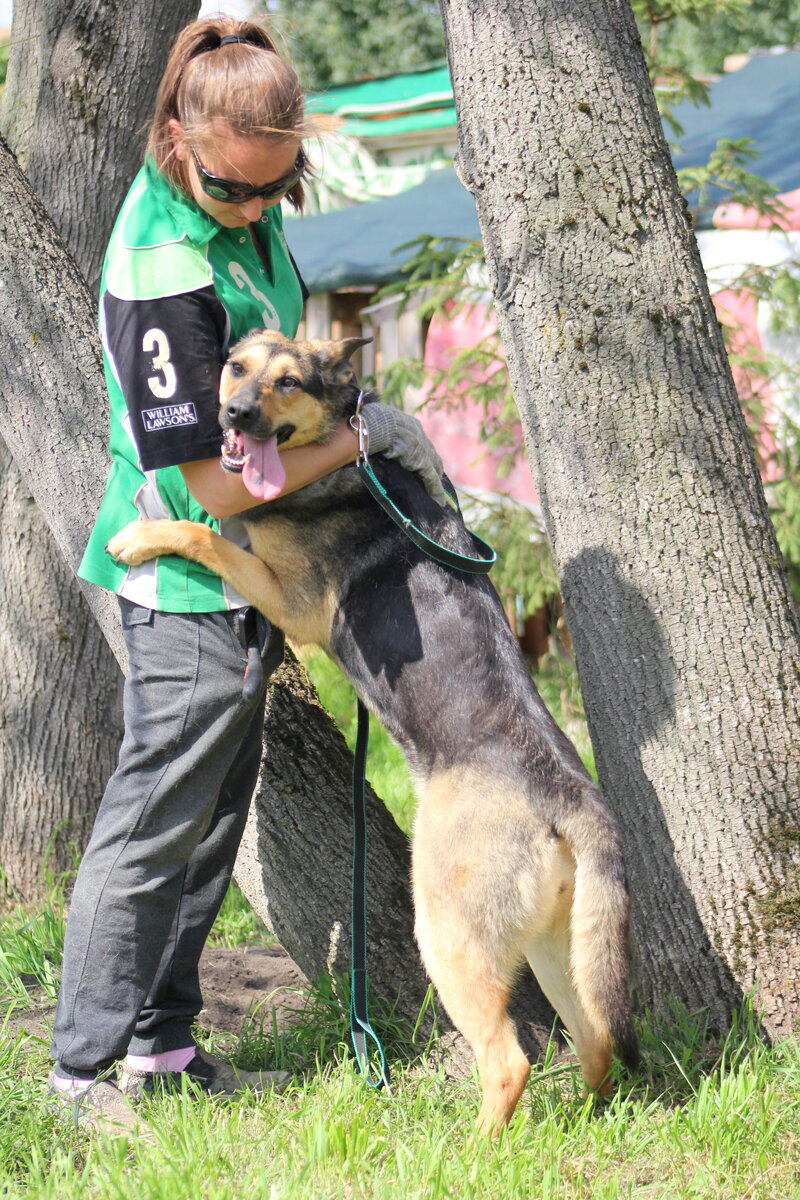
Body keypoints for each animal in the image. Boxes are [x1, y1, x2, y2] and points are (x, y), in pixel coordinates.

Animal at [109, 328, 642, 1132]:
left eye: (289, 382)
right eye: (237, 367)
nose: (233, 414)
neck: (345, 451)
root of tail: (567, 793)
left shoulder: (292, 601)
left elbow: (211, 539)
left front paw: (145, 536)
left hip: (448, 935)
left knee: (508, 1060)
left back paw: (473, 1149)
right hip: (555, 947)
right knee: (595, 1040)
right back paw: (578, 1118)